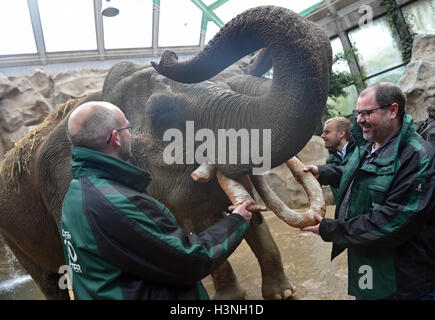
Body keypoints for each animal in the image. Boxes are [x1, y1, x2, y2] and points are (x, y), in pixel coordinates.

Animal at [0, 5, 330, 300]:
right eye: (164, 117)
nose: (166, 55)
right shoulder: (61, 181)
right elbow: (187, 240)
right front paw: (233, 297)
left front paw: (283, 294)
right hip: (13, 238)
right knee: (48, 279)